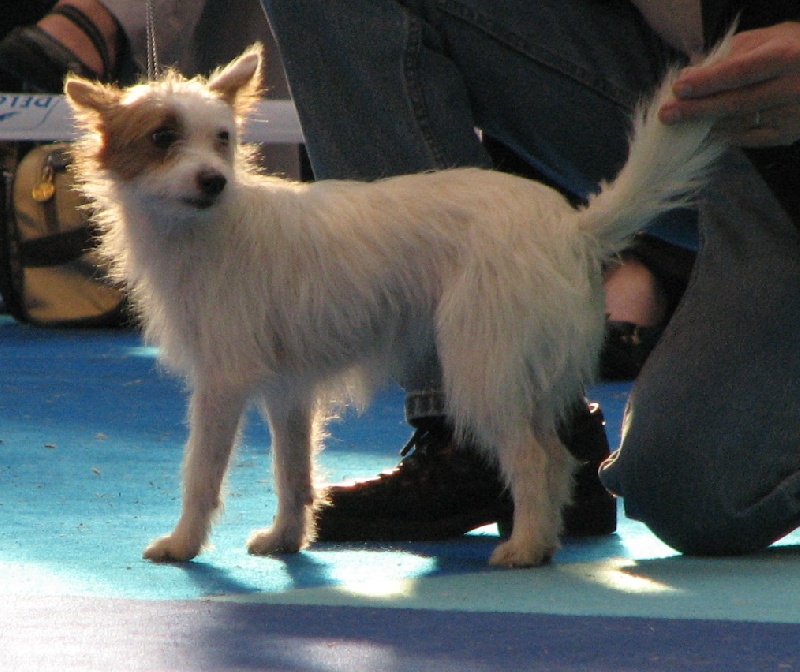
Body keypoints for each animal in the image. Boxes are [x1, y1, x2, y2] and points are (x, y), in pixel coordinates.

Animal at [64, 35, 729, 568]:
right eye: (163, 138)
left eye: (221, 139)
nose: (214, 181)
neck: (209, 228)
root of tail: (574, 227)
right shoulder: (288, 393)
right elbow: (292, 473)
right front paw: (287, 539)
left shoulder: (220, 385)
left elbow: (200, 473)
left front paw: (182, 544)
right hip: (523, 374)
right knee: (559, 458)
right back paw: (546, 537)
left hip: (479, 369)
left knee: (532, 460)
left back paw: (523, 550)